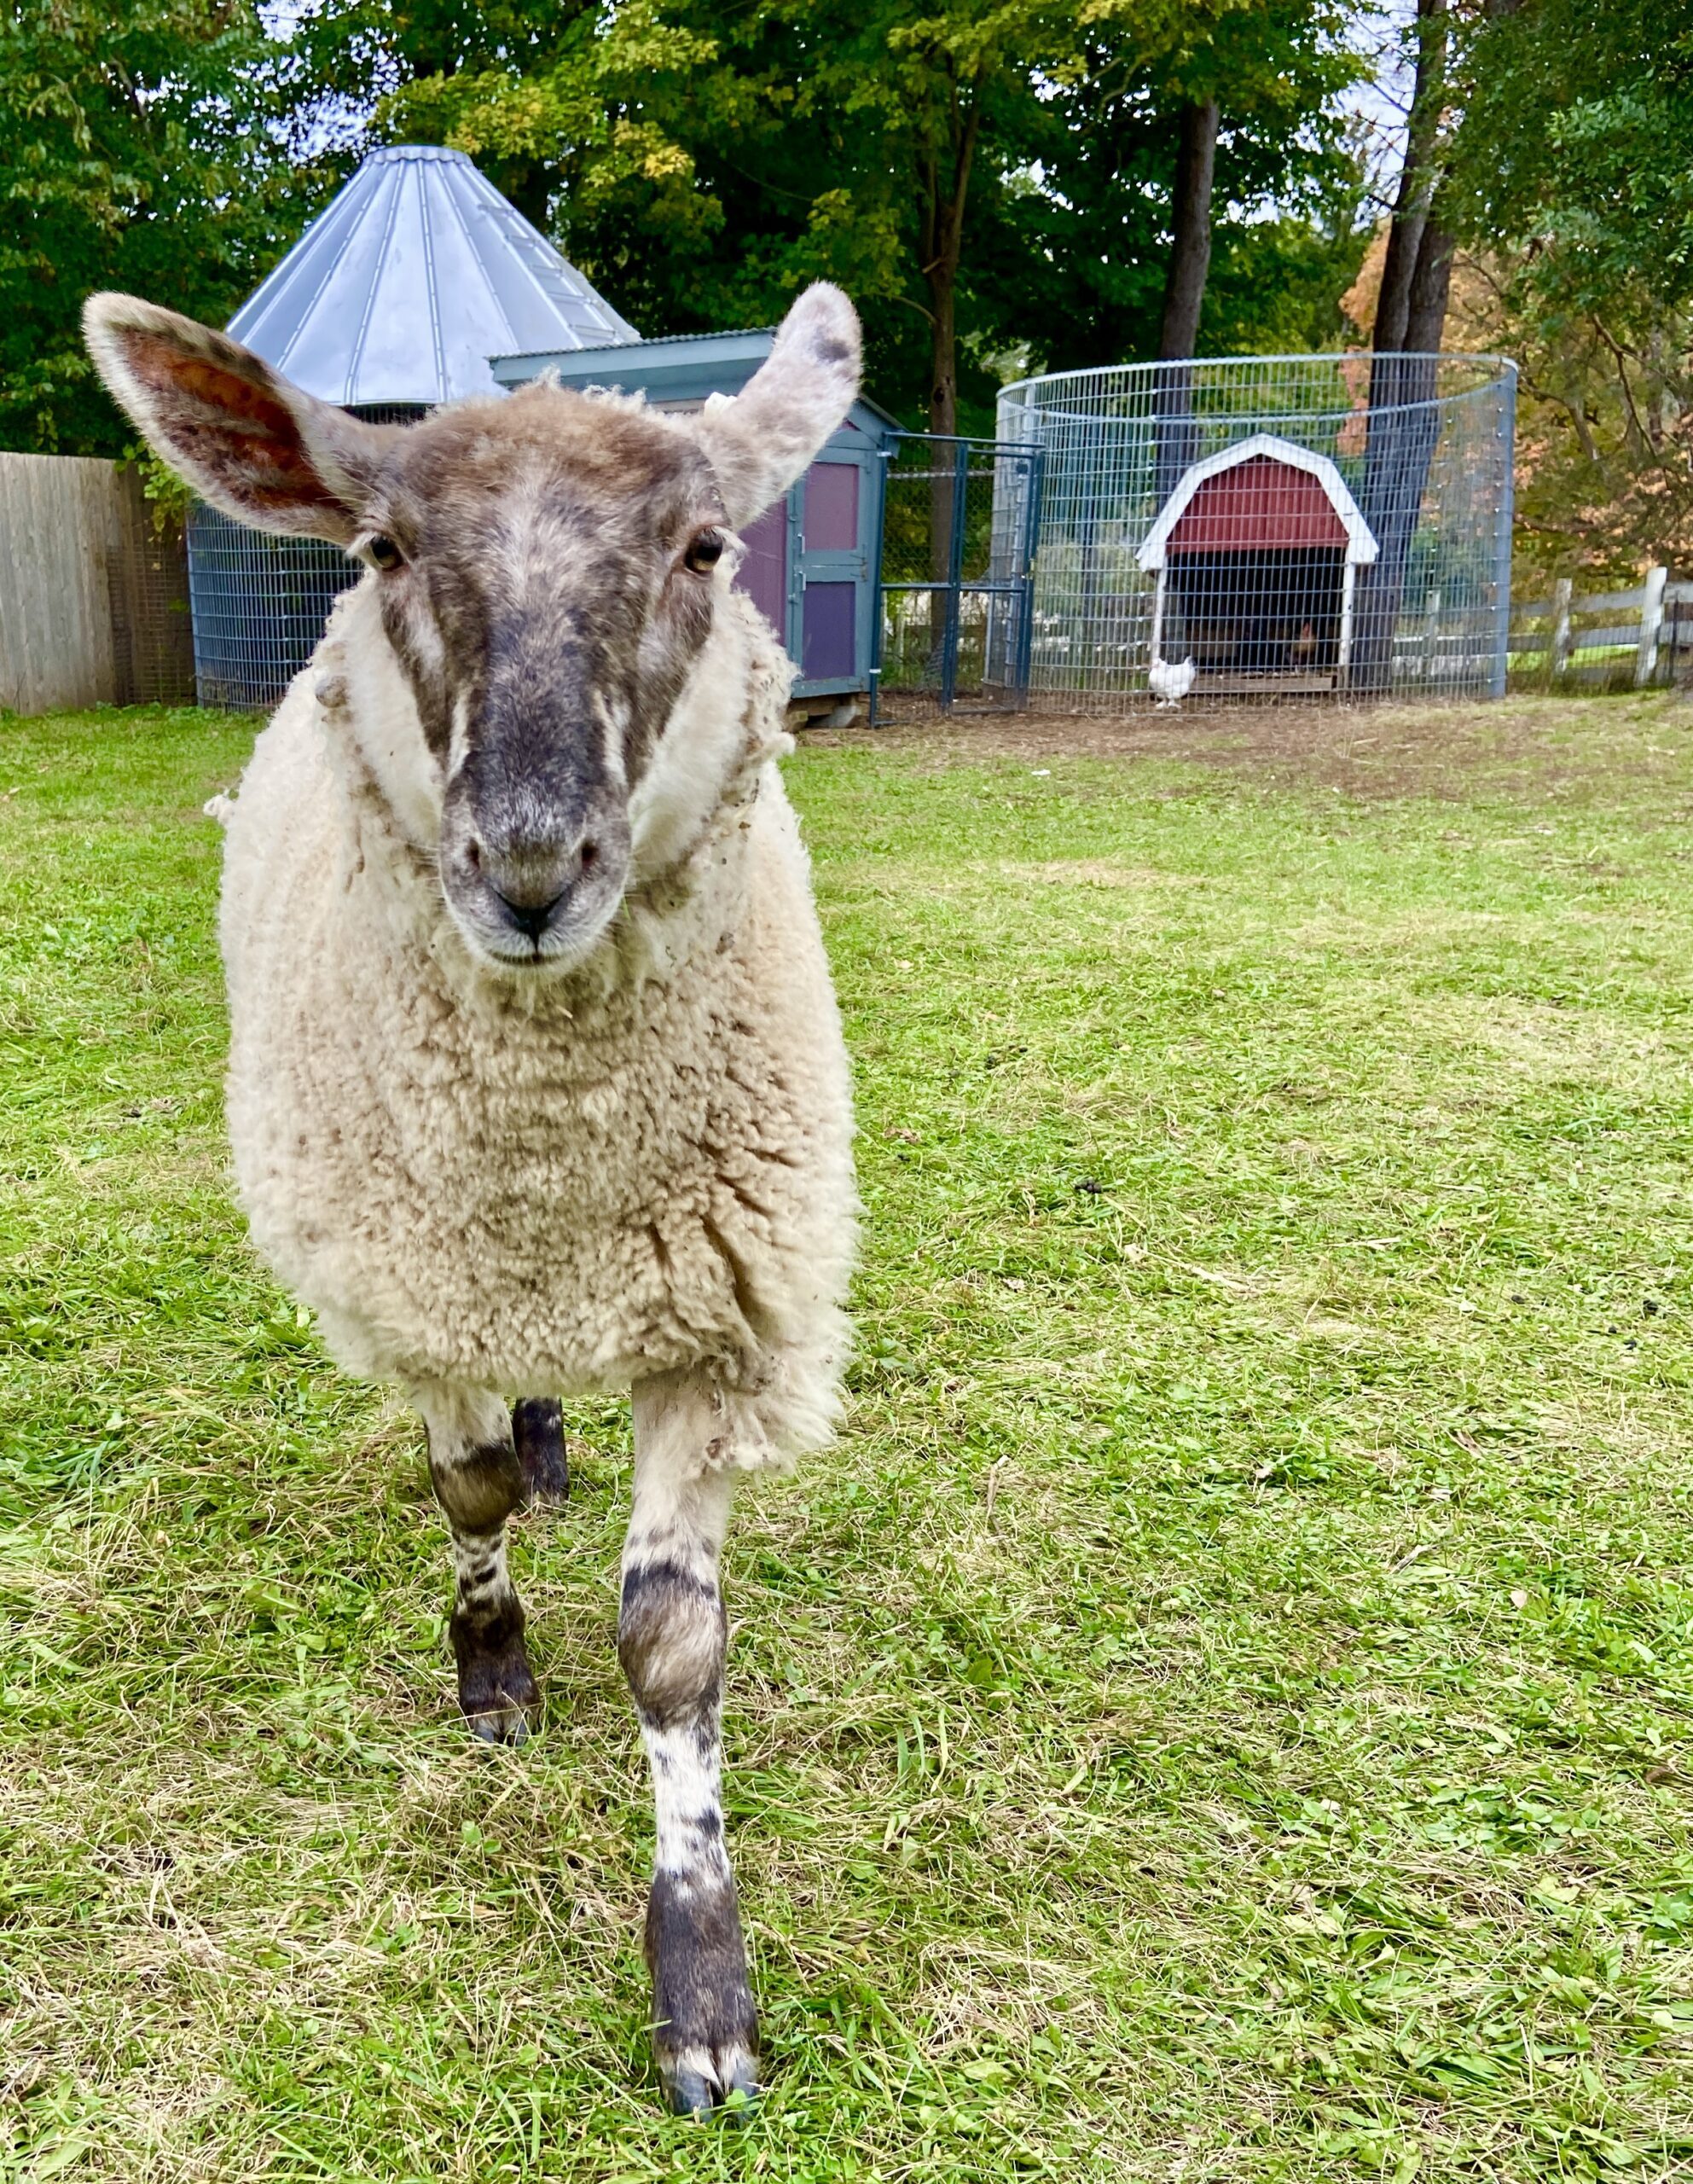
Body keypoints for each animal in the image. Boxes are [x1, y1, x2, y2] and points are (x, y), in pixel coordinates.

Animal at [84, 277, 869, 2114]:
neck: (552, 1153)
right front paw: (496, 1670)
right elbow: (462, 1498)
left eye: (706, 546)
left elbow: (671, 1646)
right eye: (380, 549)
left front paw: (702, 1986)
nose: (525, 869)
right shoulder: (417, 1275)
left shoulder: (713, 1324)